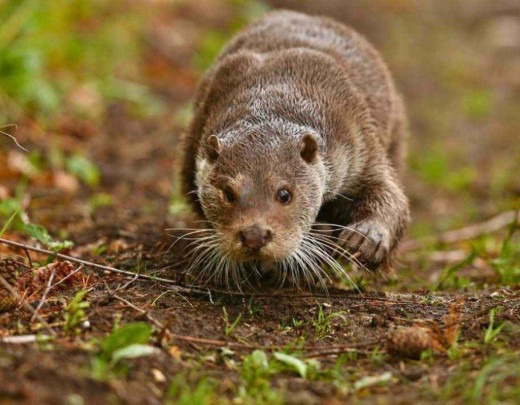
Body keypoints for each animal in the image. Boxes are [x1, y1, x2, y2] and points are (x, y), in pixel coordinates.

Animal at [181, 9, 412, 288]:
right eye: (228, 193)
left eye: (284, 194)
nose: (254, 235)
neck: (276, 90)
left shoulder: (360, 144)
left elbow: (390, 194)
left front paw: (368, 237)